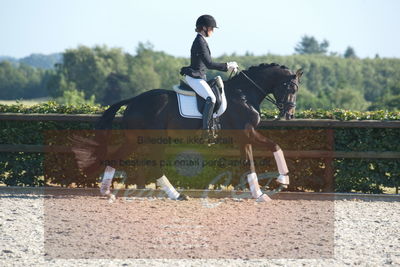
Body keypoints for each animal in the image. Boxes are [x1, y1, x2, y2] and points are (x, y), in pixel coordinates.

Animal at [72, 63, 304, 203]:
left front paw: (259, 194)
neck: (244, 94)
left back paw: (106, 191)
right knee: (154, 166)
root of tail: (134, 100)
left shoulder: (243, 138)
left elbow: (249, 164)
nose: (289, 114)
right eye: (291, 88)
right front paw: (283, 180)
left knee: (117, 157)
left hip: (136, 139)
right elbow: (275, 146)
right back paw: (176, 195)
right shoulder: (248, 133)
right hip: (155, 140)